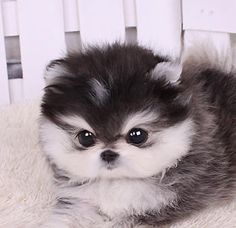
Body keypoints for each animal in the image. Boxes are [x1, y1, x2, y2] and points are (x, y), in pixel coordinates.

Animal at [39, 43, 236, 227]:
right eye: (85, 137)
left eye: (137, 135)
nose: (108, 153)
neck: (117, 181)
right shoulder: (79, 199)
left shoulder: (159, 205)